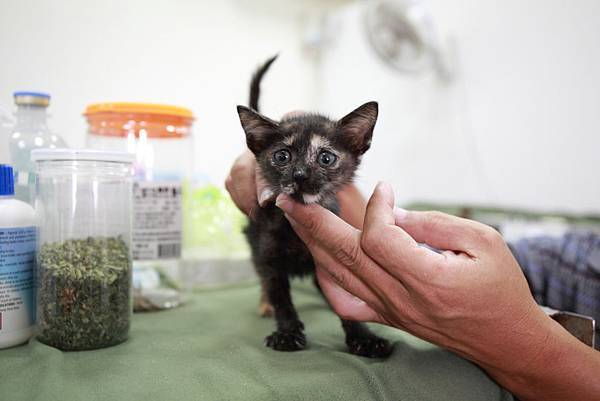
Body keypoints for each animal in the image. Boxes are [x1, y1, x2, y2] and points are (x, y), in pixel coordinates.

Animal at [236, 55, 392, 358]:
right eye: (282, 156)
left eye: (326, 158)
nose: (300, 175)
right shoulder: (269, 257)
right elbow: (281, 296)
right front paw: (287, 333)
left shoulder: (331, 258)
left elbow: (346, 301)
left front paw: (364, 337)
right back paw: (265, 304)